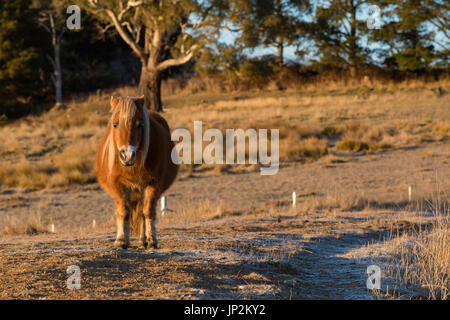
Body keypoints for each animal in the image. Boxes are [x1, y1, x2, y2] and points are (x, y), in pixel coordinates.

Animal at [95, 95, 178, 250]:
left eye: (140, 125)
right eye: (115, 124)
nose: (127, 155)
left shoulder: (153, 185)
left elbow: (147, 212)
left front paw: (151, 241)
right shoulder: (118, 186)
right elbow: (123, 212)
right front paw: (121, 241)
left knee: (141, 214)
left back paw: (142, 240)